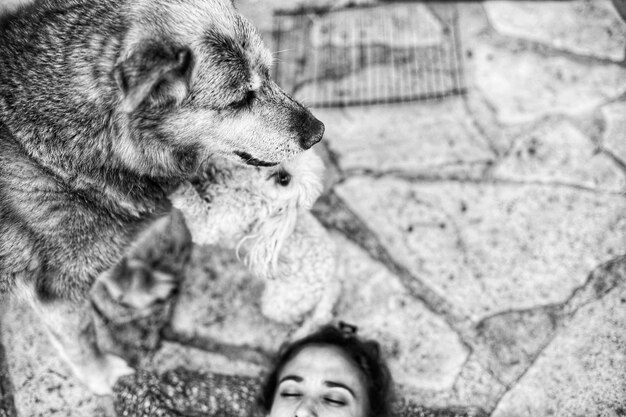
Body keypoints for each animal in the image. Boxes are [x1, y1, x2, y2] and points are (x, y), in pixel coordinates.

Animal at [168, 151, 338, 336]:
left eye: (285, 181)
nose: (282, 172)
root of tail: (332, 280)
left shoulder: (209, 228)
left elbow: (195, 206)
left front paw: (179, 190)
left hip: (279, 302)